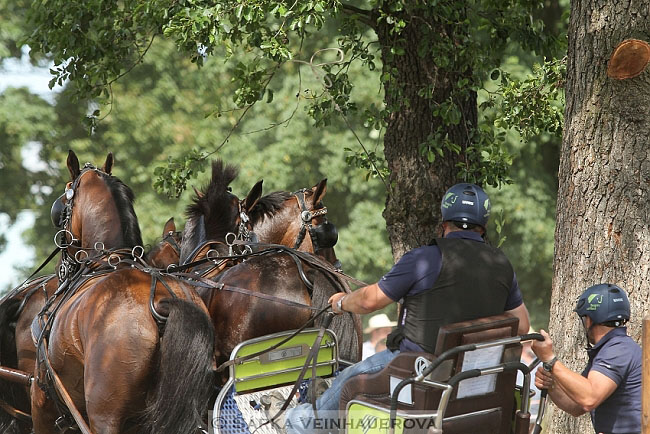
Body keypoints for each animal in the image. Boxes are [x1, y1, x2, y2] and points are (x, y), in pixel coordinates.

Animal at [27, 153, 218, 434]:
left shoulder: (42, 401)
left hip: (102, 414)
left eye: (61, 210)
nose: (62, 268)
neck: (108, 260)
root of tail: (162, 300)